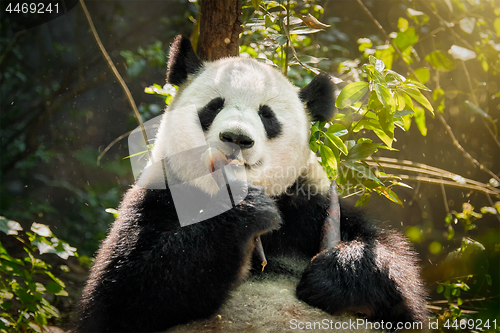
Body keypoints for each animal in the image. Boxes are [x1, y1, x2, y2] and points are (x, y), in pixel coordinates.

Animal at [72, 35, 428, 330]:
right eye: (213, 106)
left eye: (267, 115)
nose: (236, 138)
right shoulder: (160, 195)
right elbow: (122, 292)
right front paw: (244, 210)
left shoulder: (311, 205)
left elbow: (395, 274)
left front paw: (335, 274)